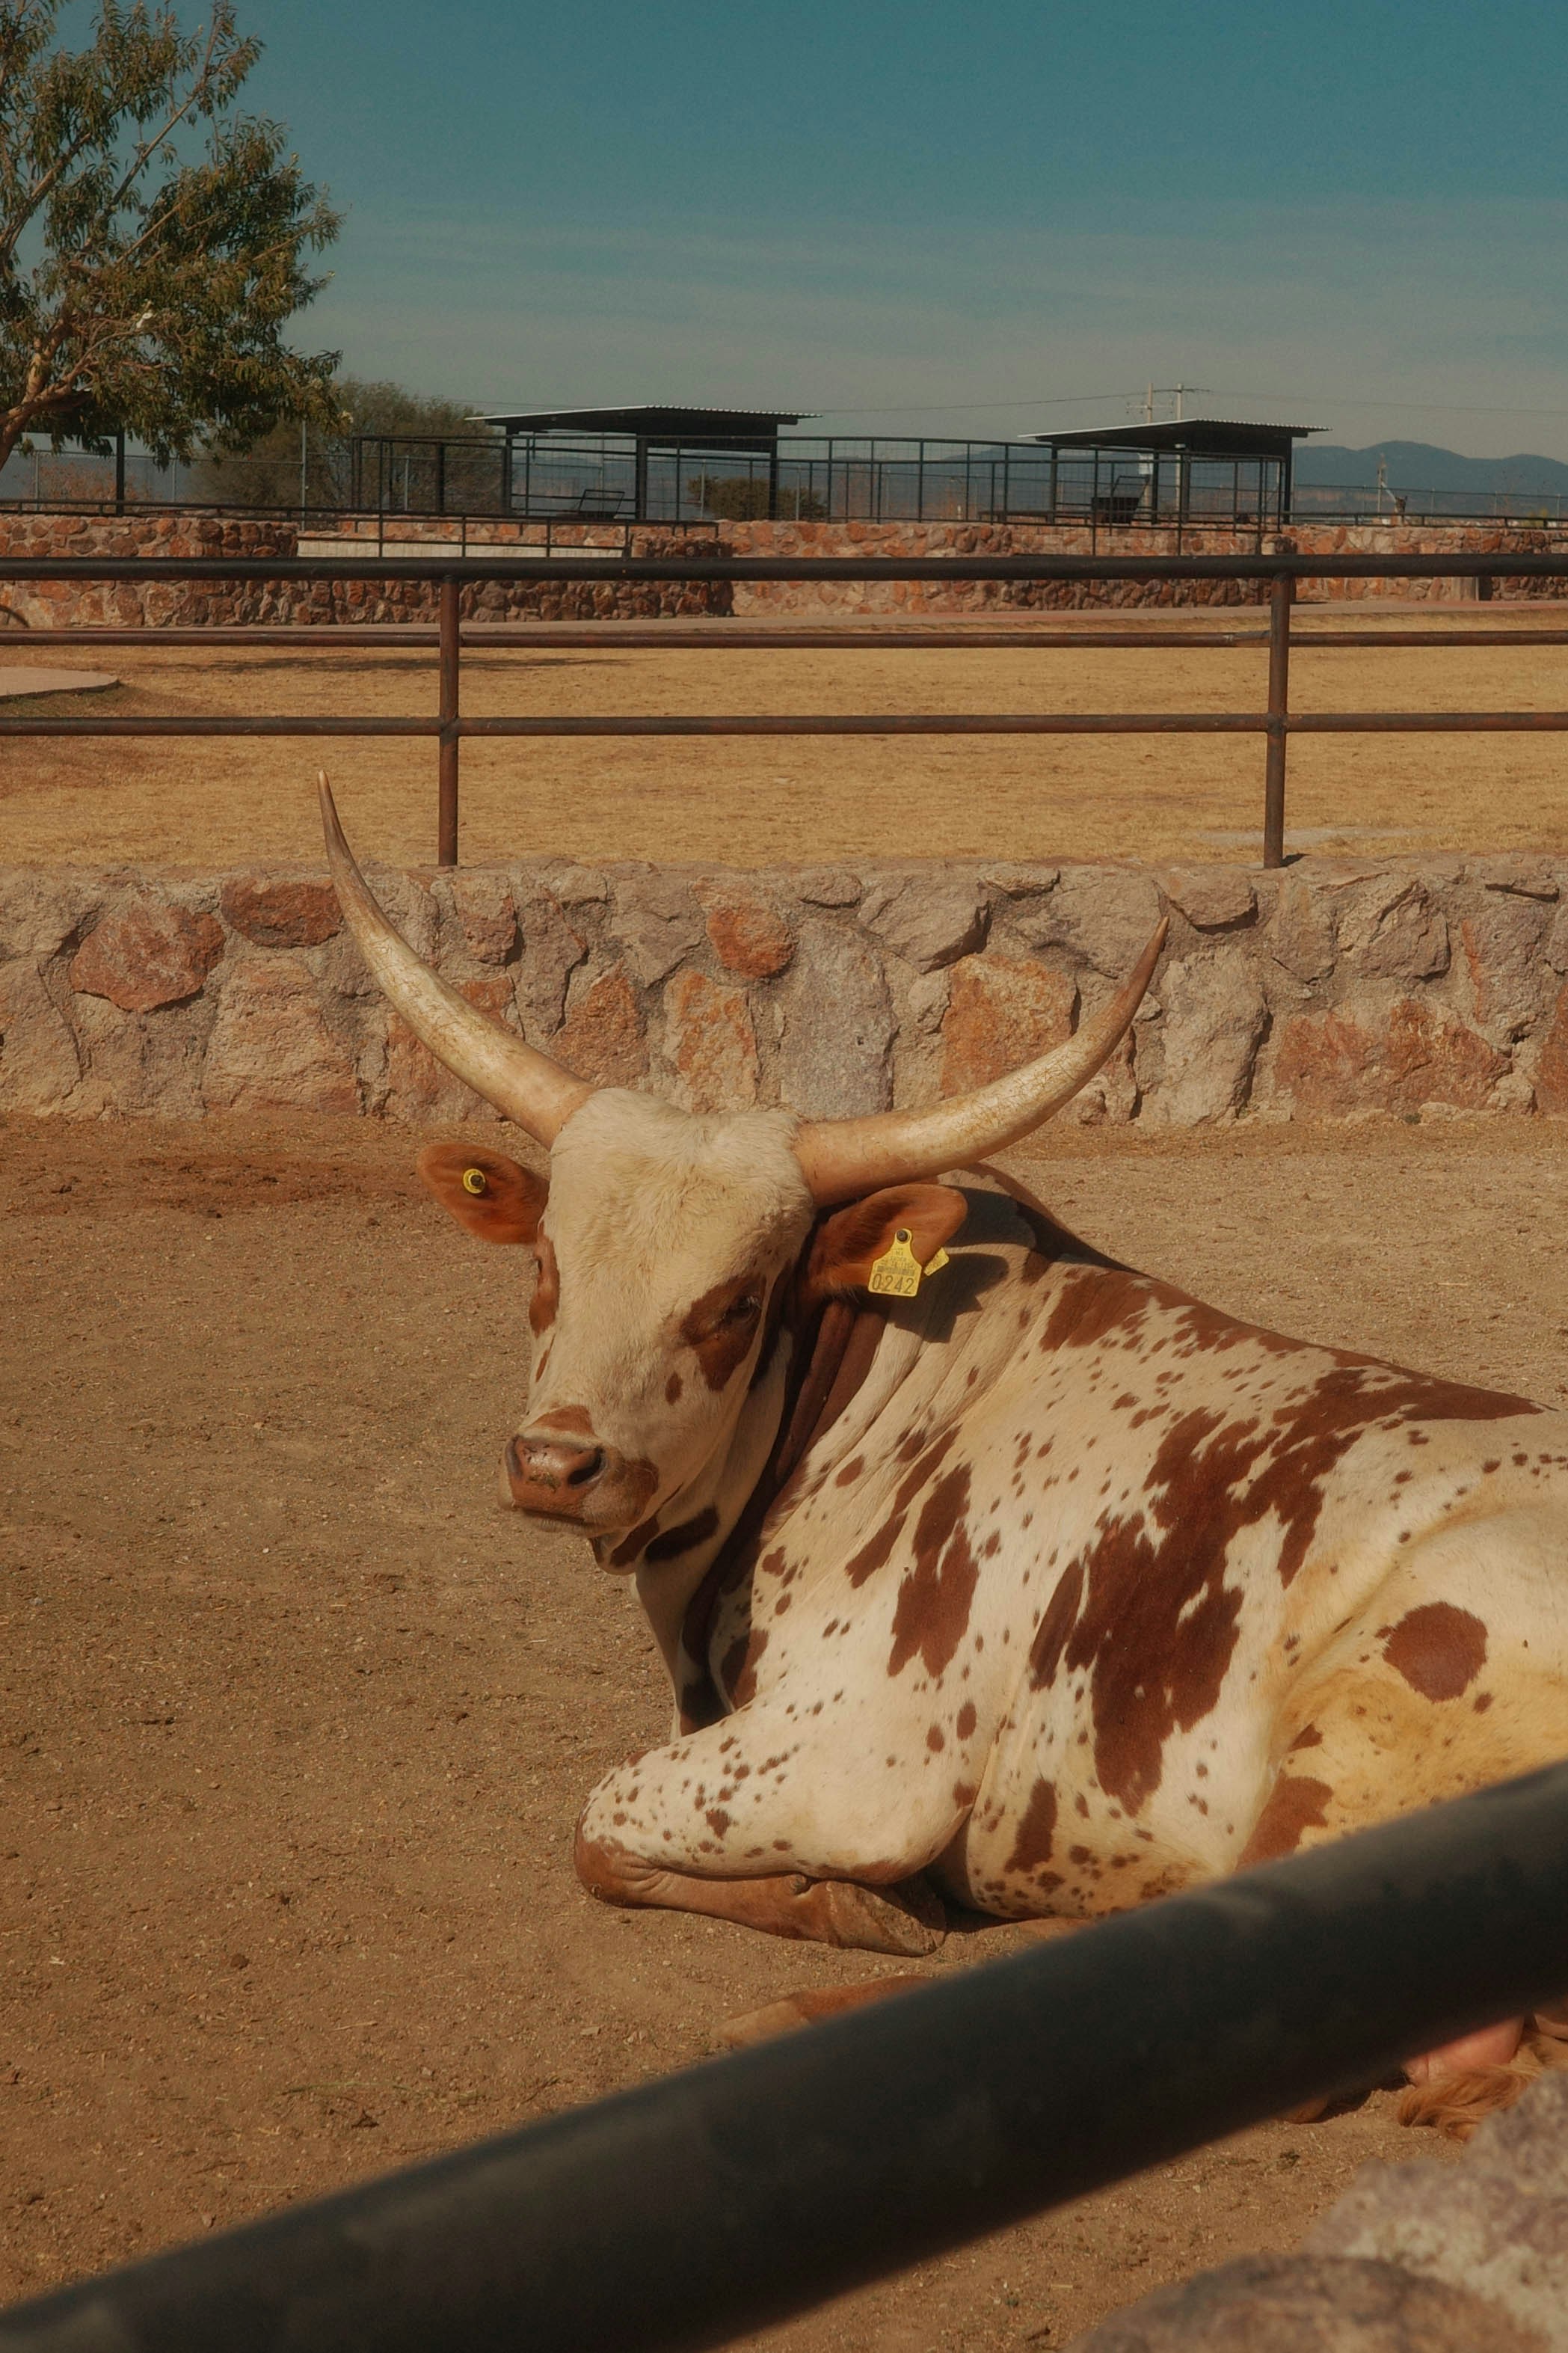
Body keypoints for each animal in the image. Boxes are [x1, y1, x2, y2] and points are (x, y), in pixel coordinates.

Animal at [320, 779, 1568, 2136]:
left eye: (732, 1303)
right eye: (544, 1262)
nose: (555, 1463)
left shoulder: (857, 1756)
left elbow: (601, 1819)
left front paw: (848, 1902)